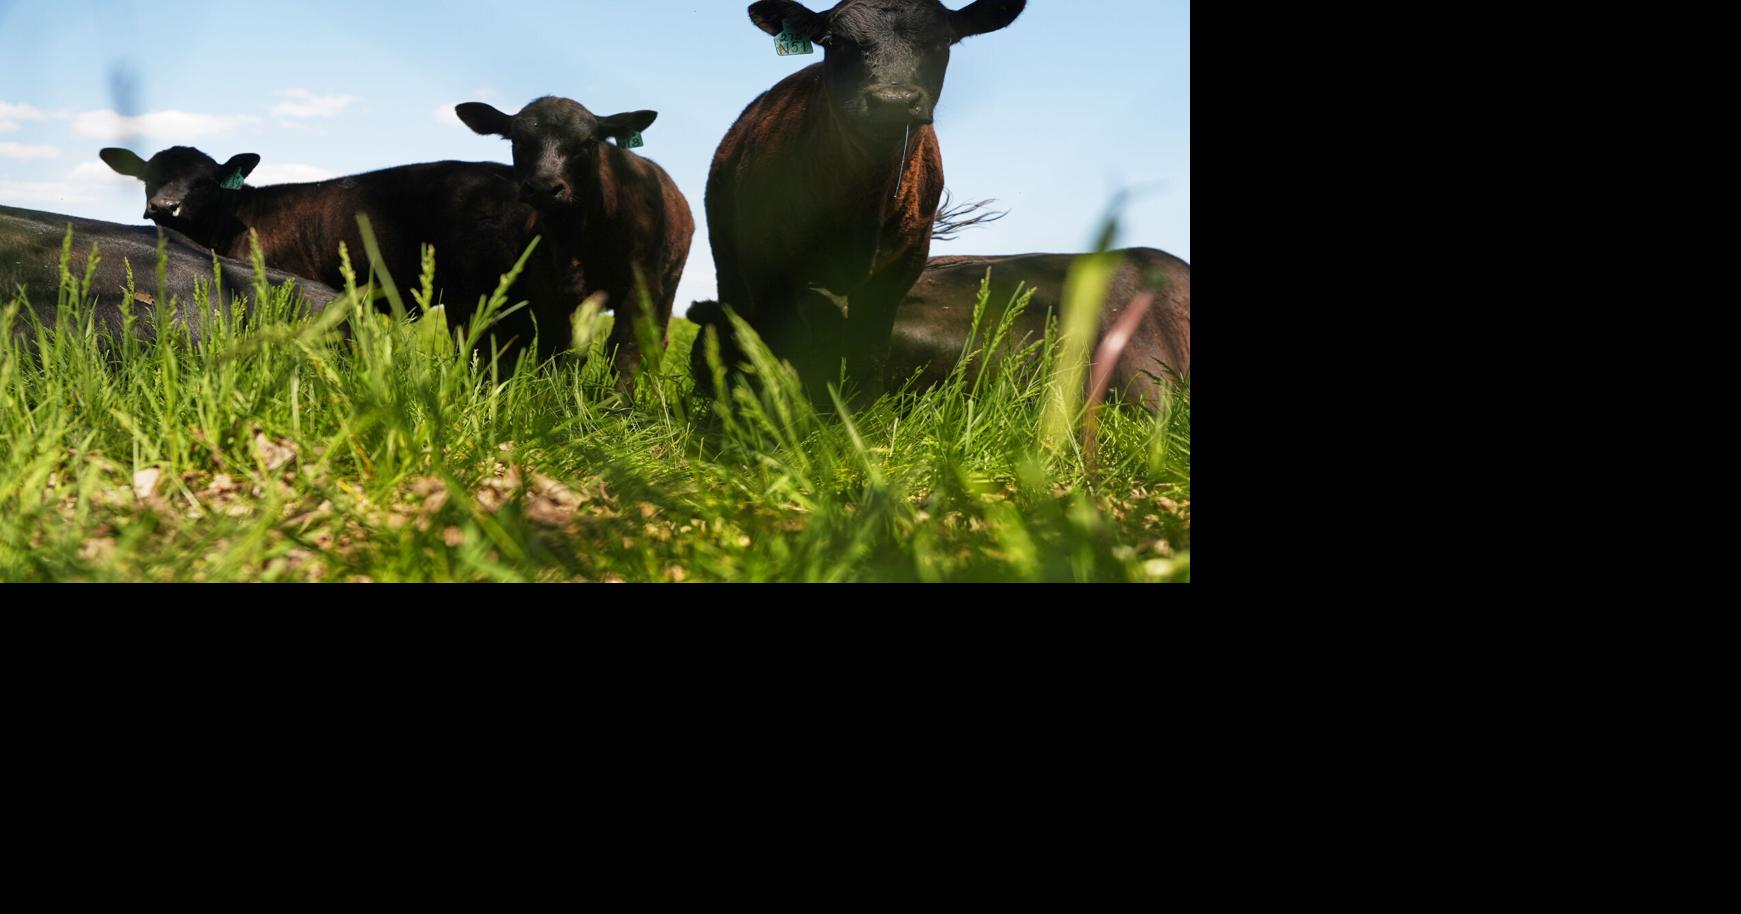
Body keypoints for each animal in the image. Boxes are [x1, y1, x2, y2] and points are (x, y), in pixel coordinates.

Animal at [453, 95, 695, 388]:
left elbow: (624, 349)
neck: (577, 236)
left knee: (658, 341)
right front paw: (551, 393)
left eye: (588, 143)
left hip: (669, 285)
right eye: (517, 141)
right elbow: (556, 348)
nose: (544, 188)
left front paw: (618, 400)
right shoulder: (546, 287)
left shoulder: (642, 284)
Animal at [702, 0, 1027, 405]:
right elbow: (782, 346)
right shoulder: (769, 269)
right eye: (834, 42)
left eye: (943, 41)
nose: (893, 101)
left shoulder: (902, 265)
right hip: (730, 259)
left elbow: (867, 348)